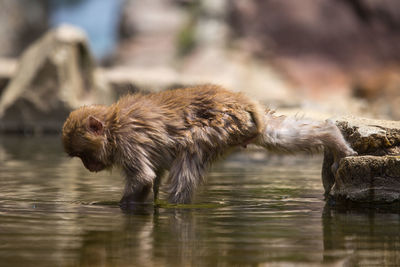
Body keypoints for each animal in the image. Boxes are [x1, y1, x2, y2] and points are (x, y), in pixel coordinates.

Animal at [62, 85, 356, 206]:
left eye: (84, 154)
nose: (88, 167)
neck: (112, 126)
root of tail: (240, 99)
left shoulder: (128, 142)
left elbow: (143, 178)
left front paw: (118, 207)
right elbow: (153, 177)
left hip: (219, 126)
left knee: (190, 152)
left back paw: (178, 206)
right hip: (245, 125)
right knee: (277, 136)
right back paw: (333, 136)